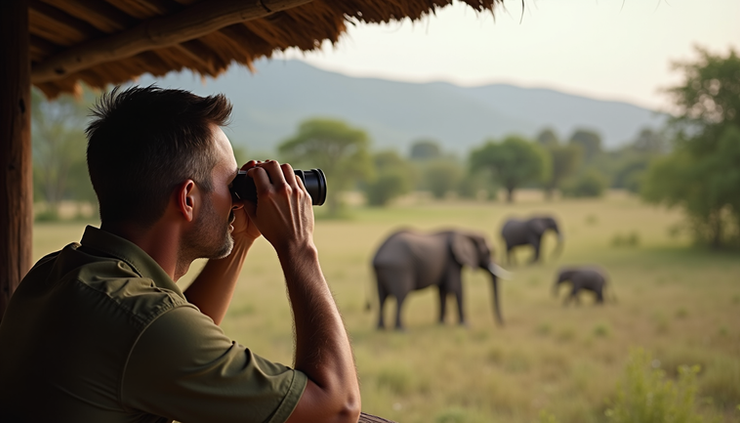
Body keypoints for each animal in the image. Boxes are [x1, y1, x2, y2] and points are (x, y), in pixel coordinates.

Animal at [371, 229, 508, 330]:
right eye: (488, 252)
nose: (501, 325)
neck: (465, 232)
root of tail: (377, 255)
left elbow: (442, 291)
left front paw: (442, 323)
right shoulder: (452, 262)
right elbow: (456, 288)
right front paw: (466, 325)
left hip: (383, 271)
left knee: (382, 297)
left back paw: (380, 328)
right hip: (399, 269)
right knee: (401, 296)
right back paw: (402, 330)